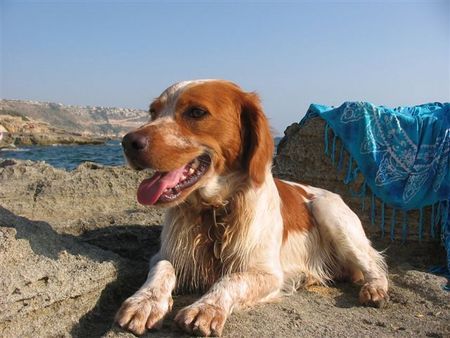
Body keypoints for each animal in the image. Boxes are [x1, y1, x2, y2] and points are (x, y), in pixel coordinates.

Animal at [118, 79, 388, 336]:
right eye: (153, 112)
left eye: (196, 112)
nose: (128, 141)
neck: (214, 212)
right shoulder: (167, 254)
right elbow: (163, 268)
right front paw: (145, 302)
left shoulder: (268, 273)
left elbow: (231, 279)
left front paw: (206, 308)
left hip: (328, 211)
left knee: (374, 264)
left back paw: (375, 288)